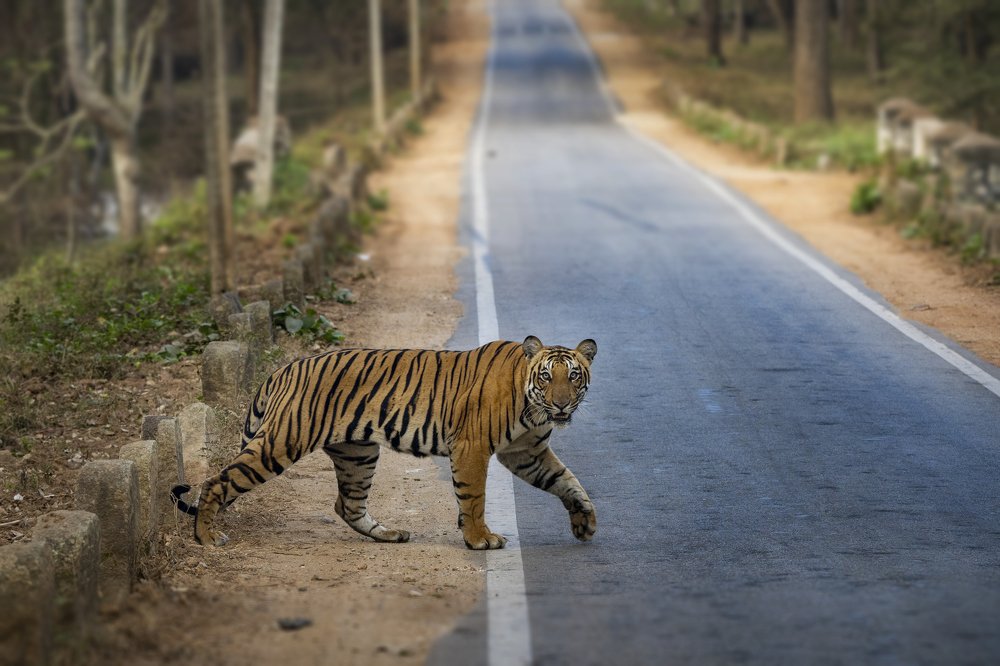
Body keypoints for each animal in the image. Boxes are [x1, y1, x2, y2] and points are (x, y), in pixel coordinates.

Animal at [171, 336, 598, 550]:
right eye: (546, 376)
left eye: (574, 376)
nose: (562, 404)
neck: (534, 408)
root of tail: (283, 369)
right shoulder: (472, 447)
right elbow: (473, 497)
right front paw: (479, 539)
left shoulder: (526, 452)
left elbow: (568, 482)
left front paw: (585, 523)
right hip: (281, 442)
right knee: (216, 482)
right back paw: (206, 537)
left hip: (357, 453)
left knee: (347, 505)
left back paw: (390, 534)